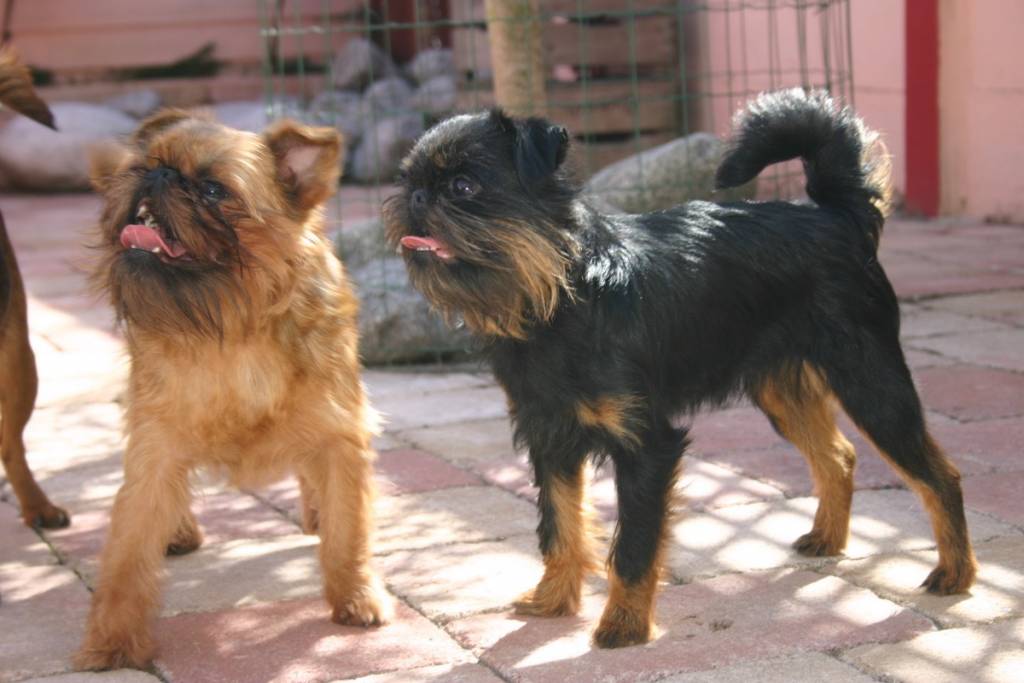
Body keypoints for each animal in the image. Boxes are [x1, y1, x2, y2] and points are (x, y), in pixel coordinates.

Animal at [76, 110, 391, 669]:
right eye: (145, 164)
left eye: (213, 189)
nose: (159, 176)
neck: (232, 326)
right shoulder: (154, 449)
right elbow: (127, 553)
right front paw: (112, 642)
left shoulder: (340, 434)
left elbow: (348, 528)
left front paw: (355, 595)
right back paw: (179, 530)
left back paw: (315, 512)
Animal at [384, 89, 977, 648]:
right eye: (409, 180)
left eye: (463, 187)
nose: (417, 197)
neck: (562, 292)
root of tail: (837, 214)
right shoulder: (549, 437)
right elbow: (560, 526)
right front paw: (553, 599)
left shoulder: (647, 445)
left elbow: (633, 544)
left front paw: (623, 625)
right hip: (781, 392)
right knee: (838, 455)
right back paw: (829, 539)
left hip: (870, 383)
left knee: (938, 475)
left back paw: (957, 572)